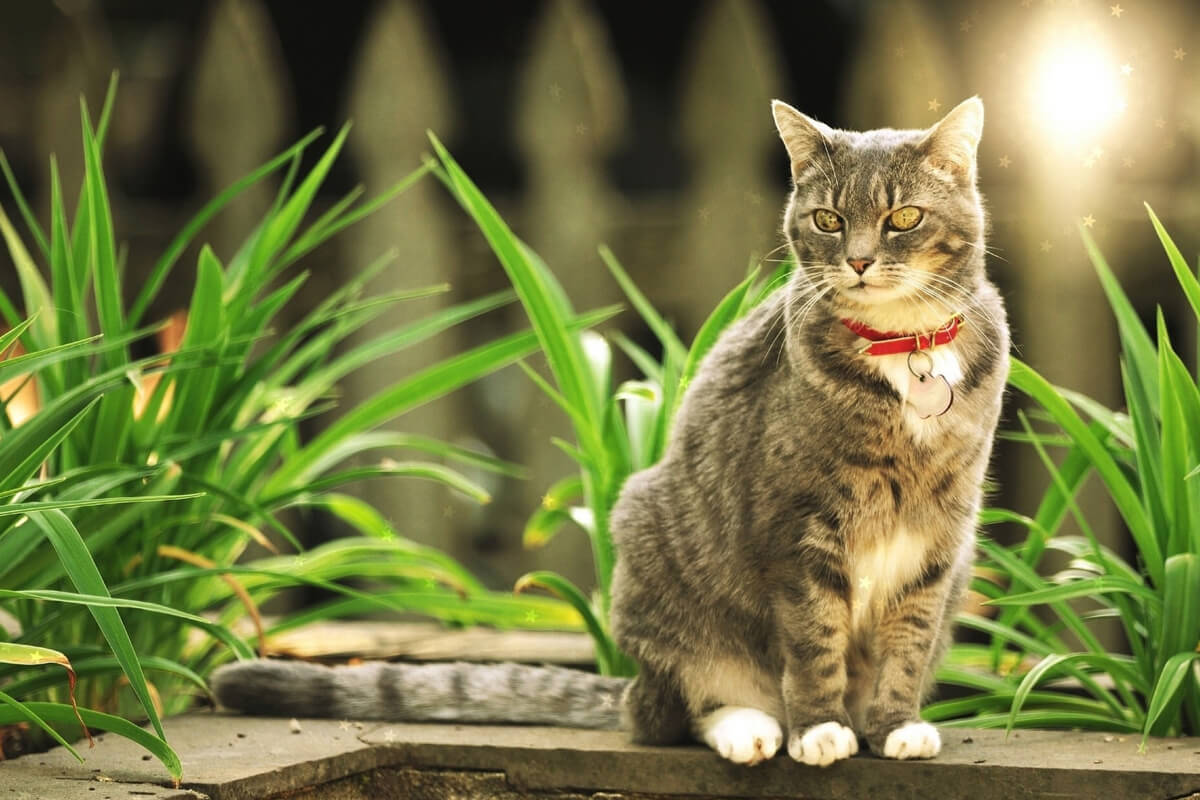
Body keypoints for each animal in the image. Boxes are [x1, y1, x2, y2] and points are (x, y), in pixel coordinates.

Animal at [211, 97, 1008, 767]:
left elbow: (909, 639)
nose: (860, 259)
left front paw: (894, 724)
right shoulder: (799, 526)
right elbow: (814, 640)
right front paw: (821, 730)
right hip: (655, 554)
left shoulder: (940, 533)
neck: (903, 350)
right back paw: (752, 728)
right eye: (828, 221)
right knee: (679, 708)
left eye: (903, 218)